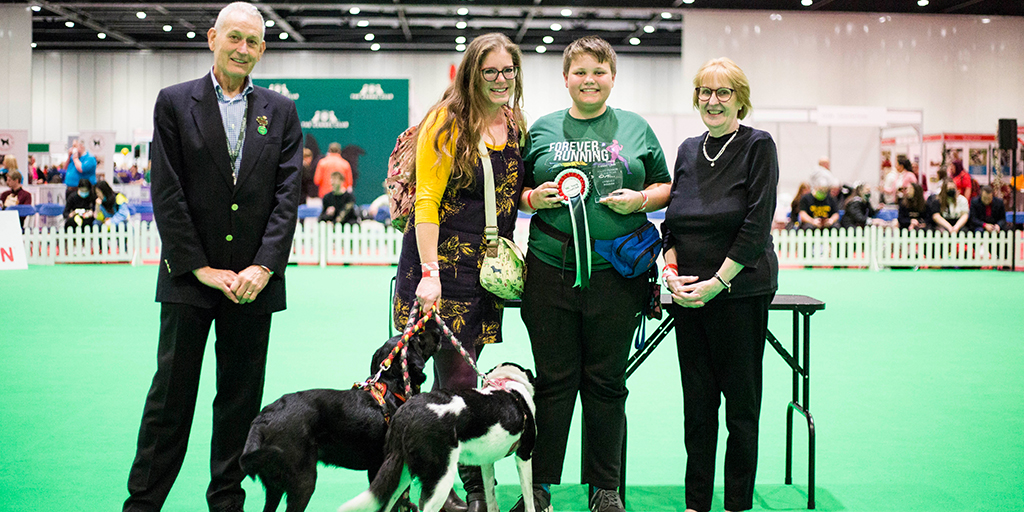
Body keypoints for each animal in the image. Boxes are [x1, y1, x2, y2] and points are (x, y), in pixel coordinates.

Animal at [339, 362, 540, 512]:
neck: (508, 383)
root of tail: (406, 414)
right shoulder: (524, 454)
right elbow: (528, 496)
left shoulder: (486, 462)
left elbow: (491, 496)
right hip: (440, 477)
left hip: (399, 472)